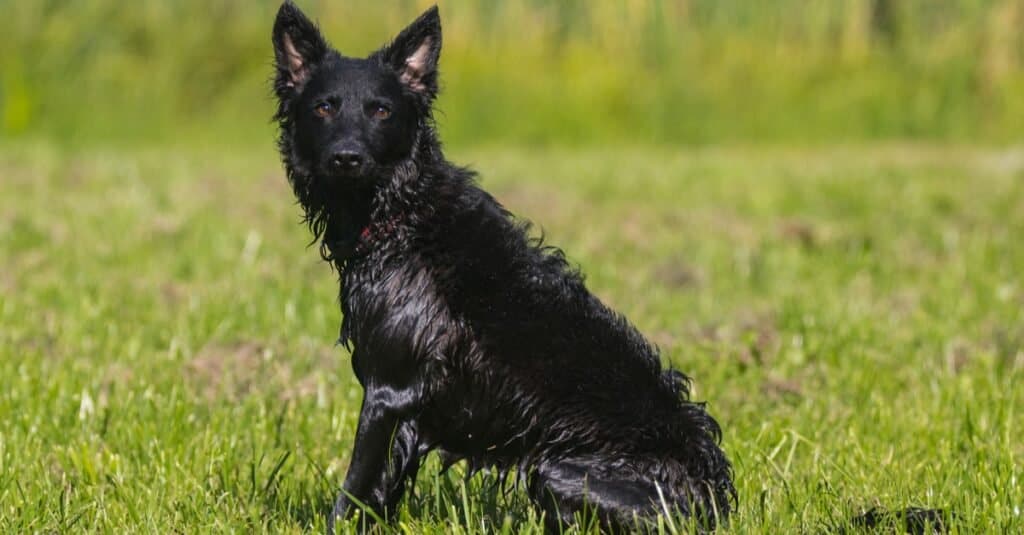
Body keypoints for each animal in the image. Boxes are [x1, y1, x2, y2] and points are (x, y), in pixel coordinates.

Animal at [272, 3, 737, 528]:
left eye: (381, 110)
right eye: (323, 108)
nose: (347, 158)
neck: (402, 213)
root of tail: (714, 499)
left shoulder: (389, 390)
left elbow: (352, 490)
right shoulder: (403, 412)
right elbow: (378, 492)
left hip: (554, 474)